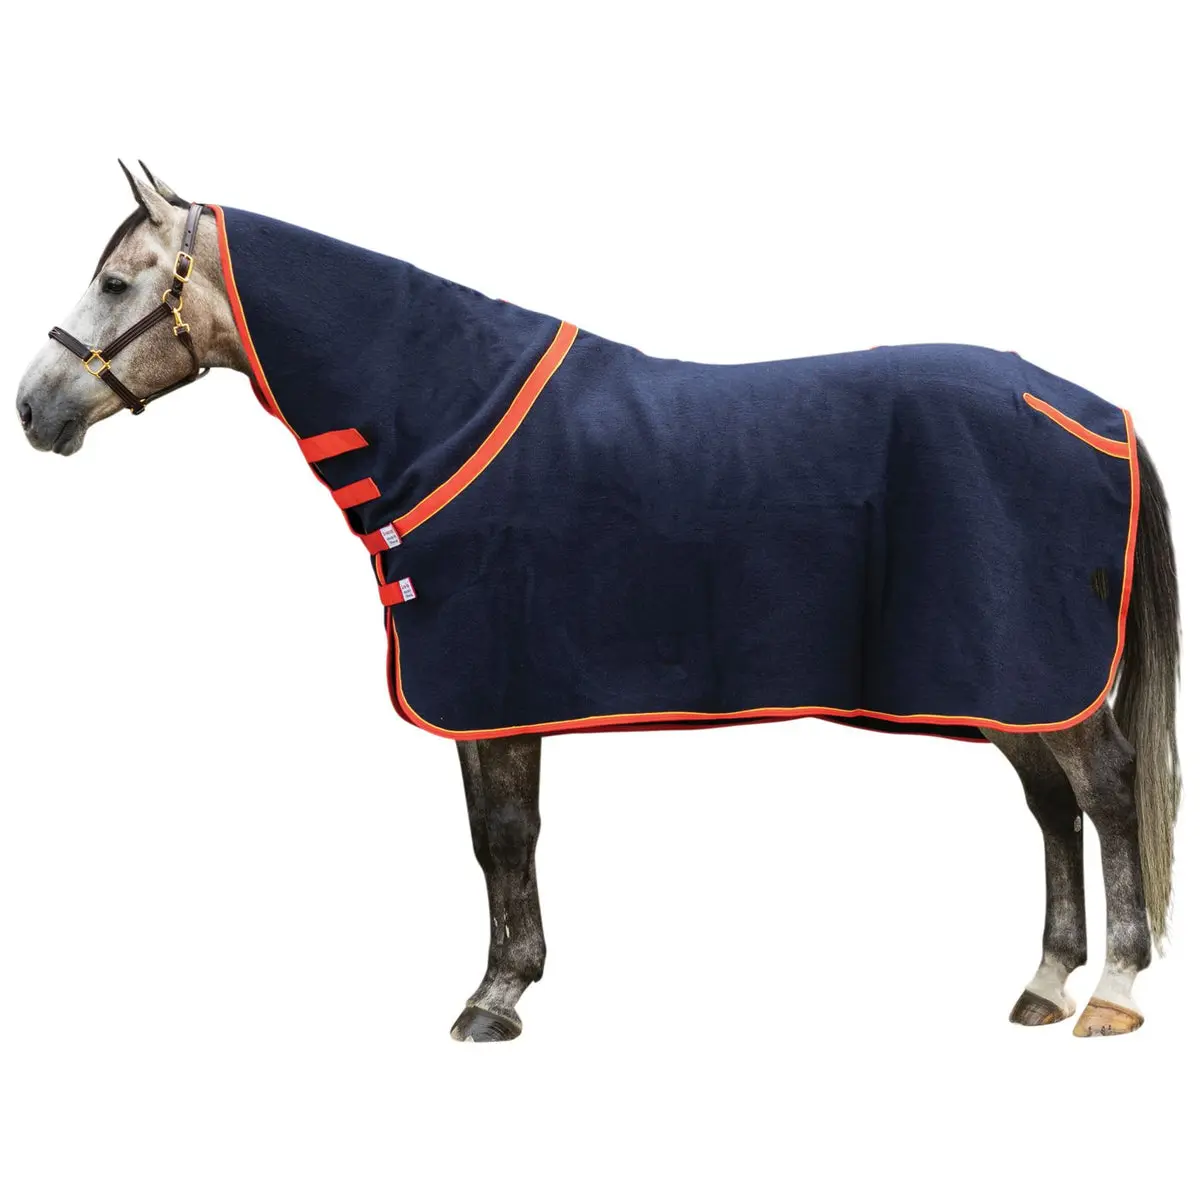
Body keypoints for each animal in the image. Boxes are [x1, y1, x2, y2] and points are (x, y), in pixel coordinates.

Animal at [15, 162, 1181, 1041]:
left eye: (114, 284)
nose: (32, 408)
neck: (443, 413)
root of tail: (1096, 414)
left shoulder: (492, 686)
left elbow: (503, 836)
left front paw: (494, 998)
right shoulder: (488, 696)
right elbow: (494, 839)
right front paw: (511, 979)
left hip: (1037, 674)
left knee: (1108, 789)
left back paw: (1112, 991)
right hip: (1005, 684)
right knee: (1052, 807)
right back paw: (1045, 983)